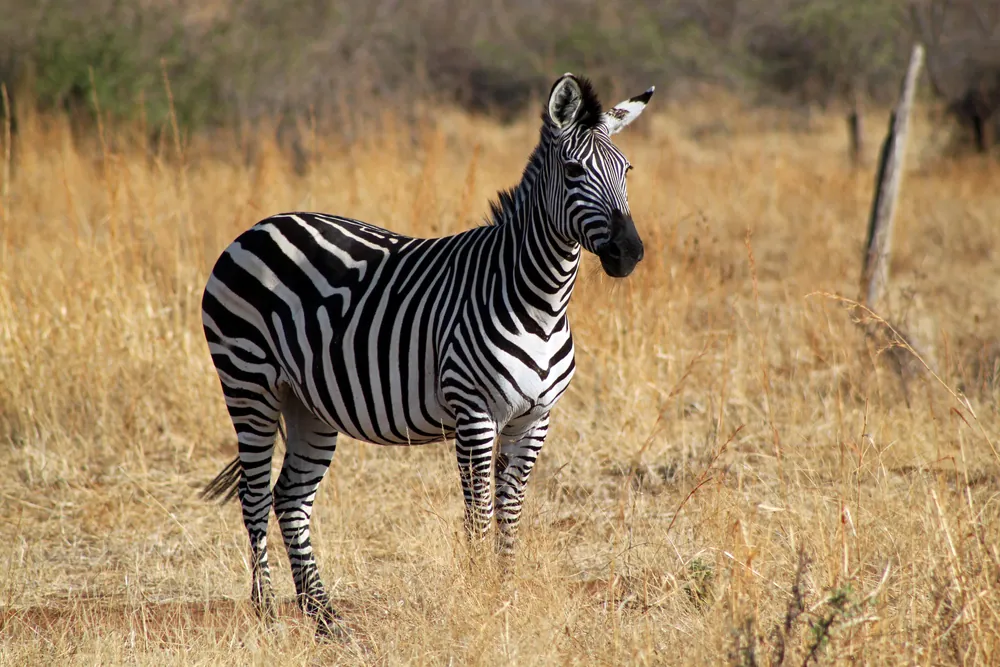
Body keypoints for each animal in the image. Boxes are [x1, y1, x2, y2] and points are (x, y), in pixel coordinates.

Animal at [200, 73, 653, 637]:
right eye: (573, 172)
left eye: (627, 170)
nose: (629, 253)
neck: (541, 302)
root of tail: (260, 226)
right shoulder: (474, 413)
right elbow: (479, 513)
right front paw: (481, 600)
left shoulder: (535, 419)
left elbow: (510, 512)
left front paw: (505, 595)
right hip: (248, 383)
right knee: (256, 492)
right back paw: (266, 615)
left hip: (308, 404)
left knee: (291, 497)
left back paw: (324, 617)